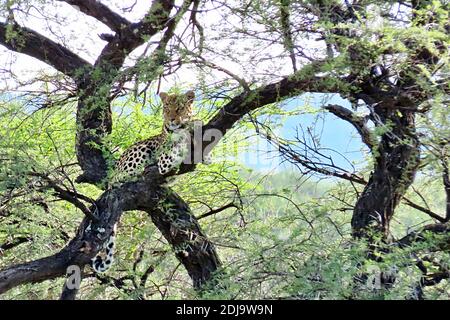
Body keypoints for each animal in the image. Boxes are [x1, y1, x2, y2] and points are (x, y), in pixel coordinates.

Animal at [91, 90, 200, 272]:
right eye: (166, 108)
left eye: (179, 108)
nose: (171, 120)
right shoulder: (164, 159)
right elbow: (179, 145)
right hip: (140, 151)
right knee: (121, 177)